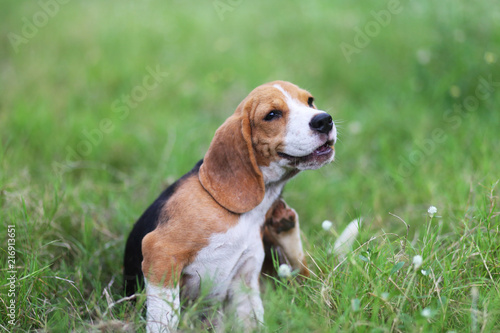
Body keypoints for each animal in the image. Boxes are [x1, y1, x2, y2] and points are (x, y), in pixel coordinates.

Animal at [123, 80, 338, 330]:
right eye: (272, 115)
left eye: (310, 101)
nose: (324, 120)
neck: (251, 213)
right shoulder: (160, 252)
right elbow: (165, 318)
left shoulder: (246, 276)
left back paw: (284, 226)